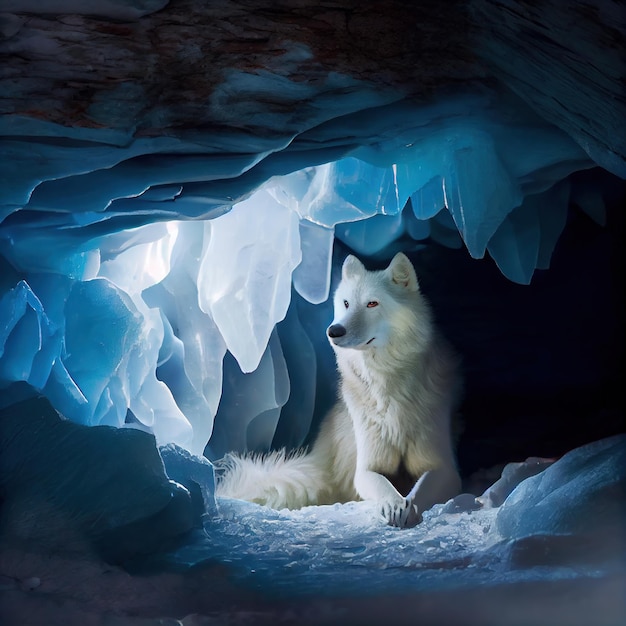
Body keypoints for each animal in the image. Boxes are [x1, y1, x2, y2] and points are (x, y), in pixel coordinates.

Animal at [217, 251, 460, 524]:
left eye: (372, 303)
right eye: (345, 303)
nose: (334, 331)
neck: (388, 385)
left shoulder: (443, 467)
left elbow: (421, 490)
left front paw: (410, 509)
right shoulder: (366, 467)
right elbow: (382, 486)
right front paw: (395, 505)